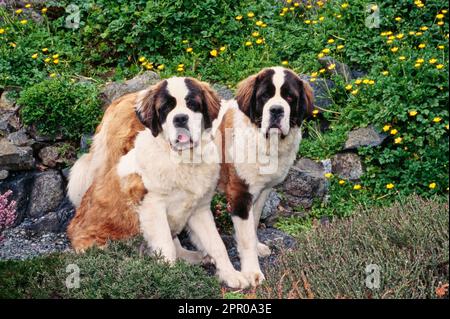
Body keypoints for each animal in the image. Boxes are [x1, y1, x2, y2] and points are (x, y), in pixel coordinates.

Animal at [67, 77, 250, 290]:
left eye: (192, 104)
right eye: (165, 108)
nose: (180, 118)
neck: (184, 160)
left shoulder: (200, 209)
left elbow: (216, 244)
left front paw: (231, 275)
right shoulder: (153, 208)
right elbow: (166, 248)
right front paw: (170, 279)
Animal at [218, 66, 312, 286]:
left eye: (289, 97)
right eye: (265, 96)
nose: (276, 110)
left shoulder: (262, 192)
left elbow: (253, 224)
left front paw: (258, 246)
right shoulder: (240, 195)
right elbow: (245, 238)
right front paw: (252, 272)